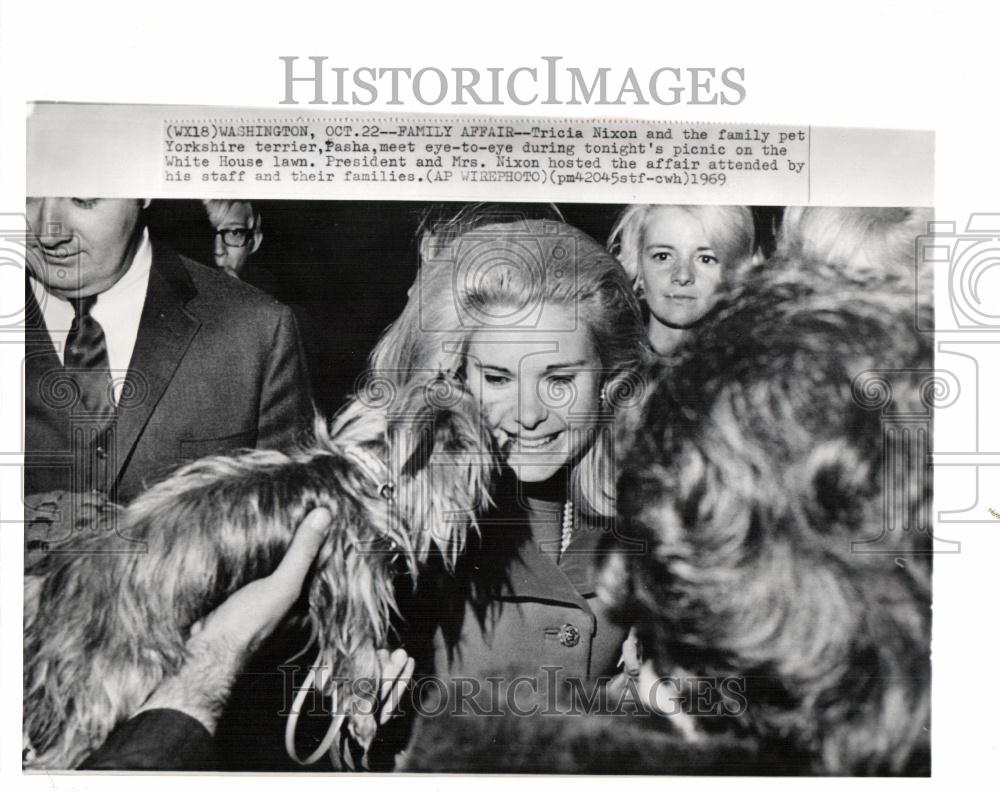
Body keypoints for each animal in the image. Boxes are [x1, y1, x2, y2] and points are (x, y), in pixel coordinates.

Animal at [23, 374, 492, 772]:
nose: (454, 377)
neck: (367, 469)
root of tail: (54, 585)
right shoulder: (350, 584)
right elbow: (355, 656)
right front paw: (362, 719)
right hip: (113, 675)